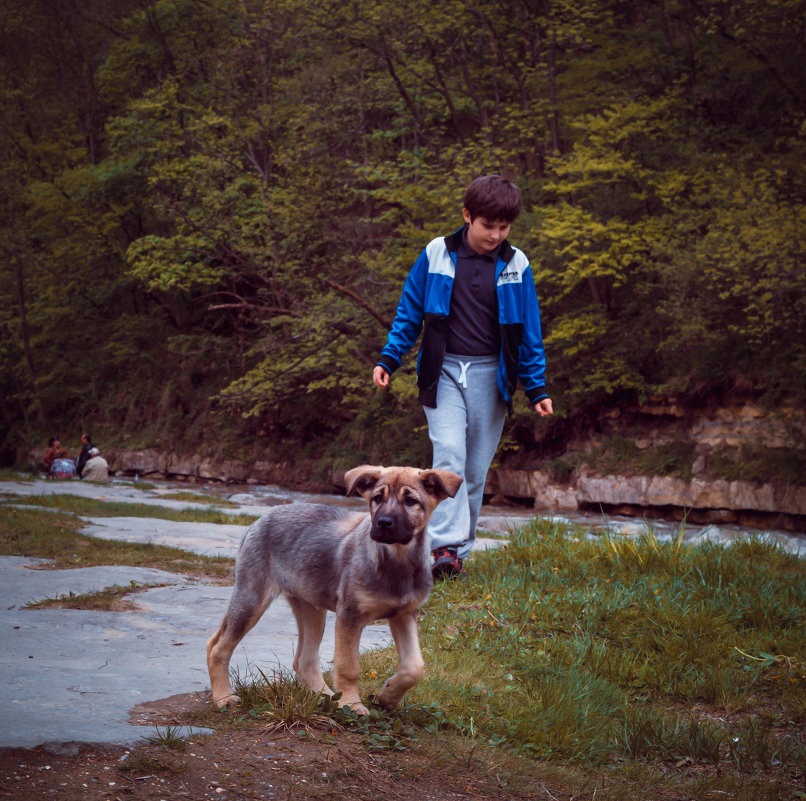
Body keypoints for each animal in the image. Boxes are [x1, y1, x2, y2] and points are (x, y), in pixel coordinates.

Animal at [205, 466, 464, 716]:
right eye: (377, 498)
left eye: (411, 501)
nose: (383, 523)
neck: (396, 562)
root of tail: (260, 520)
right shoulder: (350, 615)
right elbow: (348, 666)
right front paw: (352, 704)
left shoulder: (404, 615)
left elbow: (415, 666)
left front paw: (388, 696)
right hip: (251, 598)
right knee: (218, 648)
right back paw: (224, 698)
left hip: (310, 608)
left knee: (304, 660)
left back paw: (328, 698)